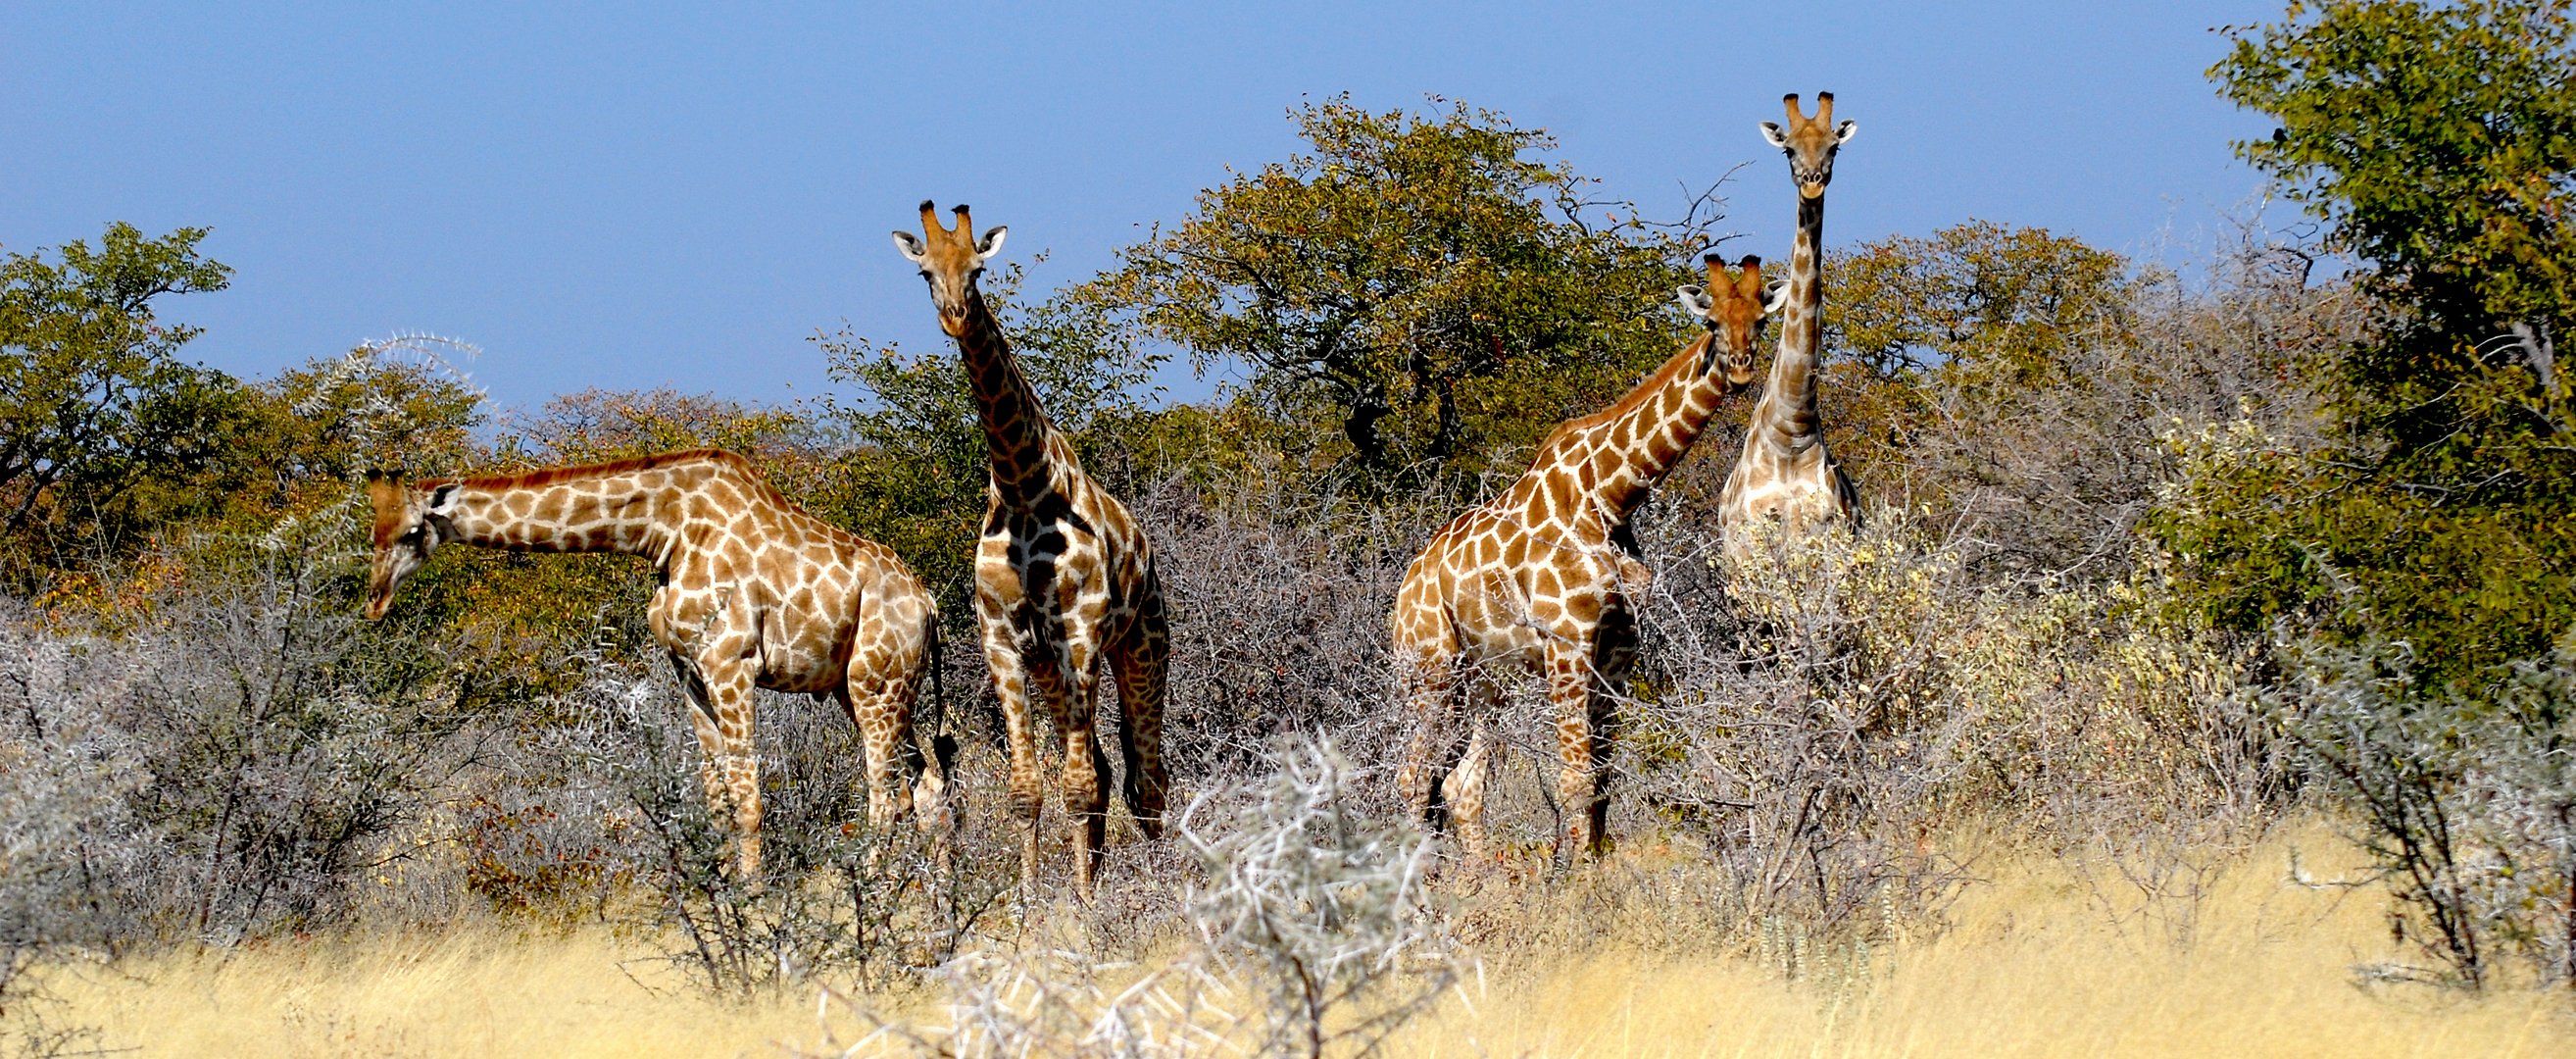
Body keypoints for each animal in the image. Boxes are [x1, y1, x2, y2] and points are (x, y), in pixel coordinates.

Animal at [366, 448, 958, 881]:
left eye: (412, 532)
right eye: (370, 531)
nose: (375, 603)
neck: (663, 531)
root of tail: (927, 603)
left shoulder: (732, 662)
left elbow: (748, 795)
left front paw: (754, 894)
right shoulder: (689, 671)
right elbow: (717, 797)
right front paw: (719, 889)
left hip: (874, 681)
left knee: (886, 793)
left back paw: (875, 888)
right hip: (865, 685)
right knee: (925, 782)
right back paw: (938, 894)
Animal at [886, 203, 1169, 901]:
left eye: (979, 269)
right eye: (925, 272)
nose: (955, 315)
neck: (1022, 485)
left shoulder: (1082, 630)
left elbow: (1079, 786)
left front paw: (1085, 909)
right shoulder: (1002, 637)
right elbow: (1028, 789)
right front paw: (1030, 902)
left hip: (1142, 646)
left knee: (1147, 778)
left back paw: (1162, 882)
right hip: (1050, 665)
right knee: (1108, 768)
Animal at [1391, 255, 1793, 860]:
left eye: (1761, 320)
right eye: (1712, 322)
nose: (1742, 368)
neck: (1611, 496)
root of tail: (1403, 592)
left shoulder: (1618, 647)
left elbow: (1603, 778)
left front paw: (1593, 866)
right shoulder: (1567, 641)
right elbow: (1574, 778)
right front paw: (1577, 875)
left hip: (1487, 682)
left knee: (1462, 784)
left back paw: (1478, 878)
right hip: (1432, 668)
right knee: (1413, 777)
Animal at [1720, 95, 1864, 567]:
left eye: (1834, 147)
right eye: (1788, 150)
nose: (1812, 184)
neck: (1791, 431)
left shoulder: (1827, 540)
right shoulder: (1748, 551)